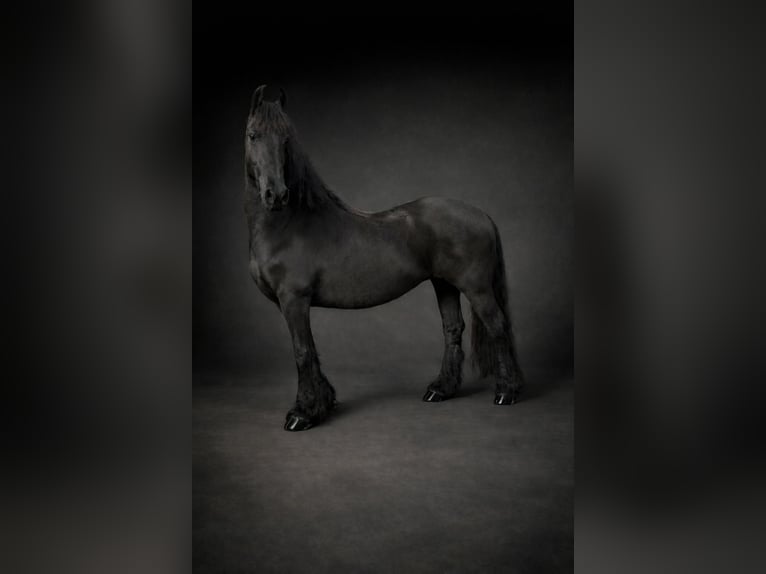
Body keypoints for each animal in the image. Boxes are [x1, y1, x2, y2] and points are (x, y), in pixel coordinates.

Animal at [244, 85, 525, 431]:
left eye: (285, 139)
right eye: (253, 135)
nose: (276, 195)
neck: (289, 223)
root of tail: (481, 214)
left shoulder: (294, 300)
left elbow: (302, 351)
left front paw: (302, 413)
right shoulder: (291, 304)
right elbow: (311, 349)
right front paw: (324, 402)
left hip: (478, 289)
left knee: (497, 326)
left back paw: (506, 392)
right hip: (444, 284)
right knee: (453, 329)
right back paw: (440, 389)